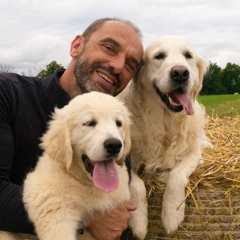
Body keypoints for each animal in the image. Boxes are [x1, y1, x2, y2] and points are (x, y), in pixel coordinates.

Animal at [118, 35, 212, 234]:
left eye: (188, 55)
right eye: (159, 56)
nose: (180, 73)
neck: (165, 122)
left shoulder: (193, 153)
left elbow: (176, 175)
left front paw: (172, 214)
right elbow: (136, 185)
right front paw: (139, 222)